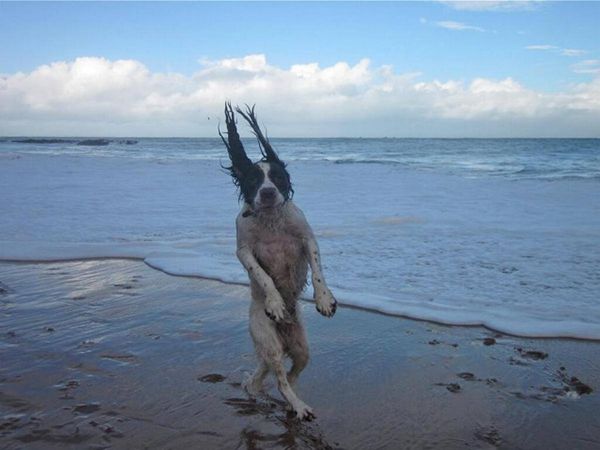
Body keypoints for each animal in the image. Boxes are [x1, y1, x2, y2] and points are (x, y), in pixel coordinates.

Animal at [220, 103, 338, 422]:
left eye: (277, 177)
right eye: (253, 180)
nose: (268, 192)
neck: (271, 220)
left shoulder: (307, 238)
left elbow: (318, 270)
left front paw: (324, 300)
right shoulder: (244, 250)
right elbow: (261, 275)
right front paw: (274, 303)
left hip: (301, 348)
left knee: (287, 375)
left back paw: (287, 401)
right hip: (268, 341)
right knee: (280, 378)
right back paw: (297, 406)